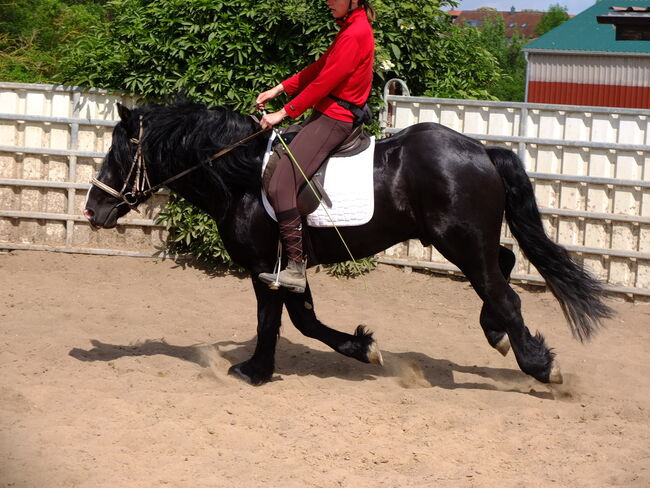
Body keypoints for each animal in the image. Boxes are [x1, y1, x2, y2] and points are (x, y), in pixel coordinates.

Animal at [83, 103, 612, 386]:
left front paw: (255, 370)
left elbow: (275, 320)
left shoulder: (264, 264)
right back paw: (498, 336)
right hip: (464, 241)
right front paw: (362, 347)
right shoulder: (287, 266)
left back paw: (539, 366)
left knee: (502, 293)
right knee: (502, 267)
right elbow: (304, 319)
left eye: (119, 153)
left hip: (459, 242)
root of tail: (481, 150)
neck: (241, 177)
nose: (92, 210)